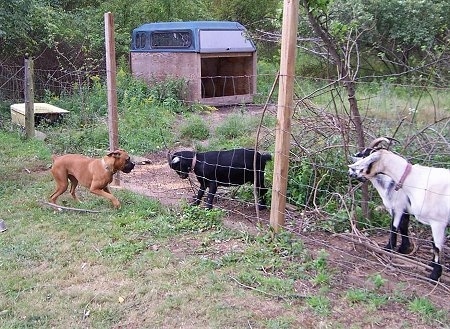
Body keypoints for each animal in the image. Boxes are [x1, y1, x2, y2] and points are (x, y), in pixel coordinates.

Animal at [350, 147, 448, 278]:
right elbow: (404, 225)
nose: (350, 172)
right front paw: (404, 248)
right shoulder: (404, 209)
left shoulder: (399, 207)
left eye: (366, 156)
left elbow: (395, 226)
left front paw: (390, 248)